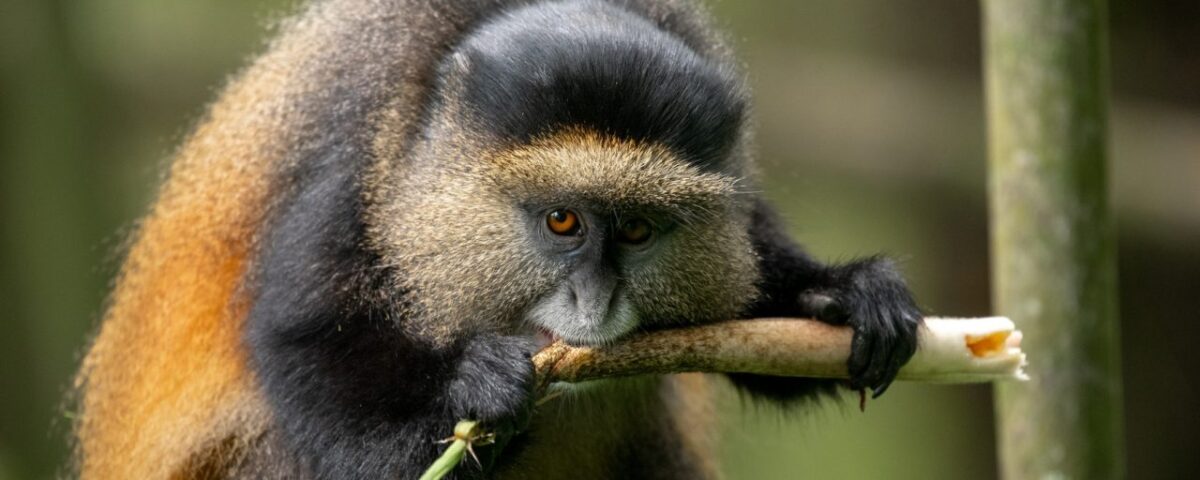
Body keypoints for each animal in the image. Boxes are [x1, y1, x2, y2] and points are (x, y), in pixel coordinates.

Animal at [71, 0, 922, 478]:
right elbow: (305, 348)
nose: (594, 303)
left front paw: (848, 294)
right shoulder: (348, 166)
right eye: (562, 222)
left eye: (638, 230)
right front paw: (475, 392)